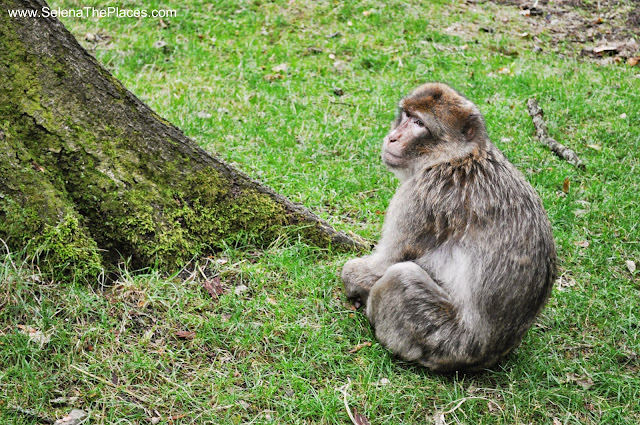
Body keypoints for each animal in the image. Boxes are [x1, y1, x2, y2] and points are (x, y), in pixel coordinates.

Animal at [342, 82, 556, 372]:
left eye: (419, 123)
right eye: (406, 115)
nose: (393, 137)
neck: (455, 158)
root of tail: (488, 356)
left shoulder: (420, 197)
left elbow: (384, 264)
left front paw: (352, 277)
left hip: (443, 339)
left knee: (400, 278)